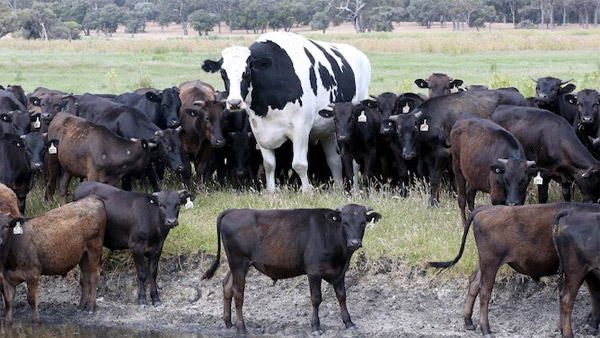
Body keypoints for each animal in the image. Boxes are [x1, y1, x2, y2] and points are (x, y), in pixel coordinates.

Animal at [0, 197, 105, 326]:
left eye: (5, 226)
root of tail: (92, 198)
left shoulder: (33, 272)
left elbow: (31, 299)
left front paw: (36, 321)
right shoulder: (5, 277)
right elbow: (8, 301)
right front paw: (7, 322)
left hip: (94, 247)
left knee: (94, 276)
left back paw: (91, 306)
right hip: (83, 255)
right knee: (85, 277)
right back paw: (81, 306)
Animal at [200, 205, 380, 334]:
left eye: (363, 223)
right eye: (344, 223)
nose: (354, 242)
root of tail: (234, 211)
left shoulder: (340, 272)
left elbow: (342, 296)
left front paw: (349, 322)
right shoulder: (314, 271)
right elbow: (316, 298)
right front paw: (316, 327)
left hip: (238, 264)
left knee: (227, 285)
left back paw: (228, 322)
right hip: (238, 262)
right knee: (238, 293)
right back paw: (242, 328)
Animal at [203, 34, 370, 194]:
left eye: (247, 72)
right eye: (223, 74)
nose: (234, 102)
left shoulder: (301, 129)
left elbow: (299, 164)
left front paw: (307, 192)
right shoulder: (259, 130)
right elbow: (269, 164)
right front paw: (271, 192)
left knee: (353, 163)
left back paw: (355, 190)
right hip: (327, 131)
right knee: (334, 160)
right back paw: (339, 188)